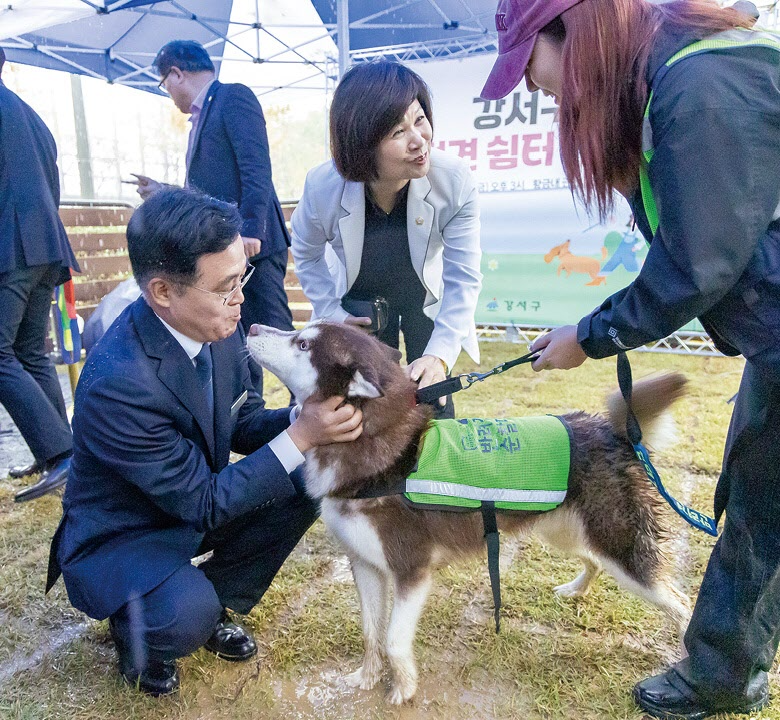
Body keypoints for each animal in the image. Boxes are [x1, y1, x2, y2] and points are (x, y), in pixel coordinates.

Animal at [248, 324, 688, 704]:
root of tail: (612, 429)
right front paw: (367, 677)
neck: (380, 453)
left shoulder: (411, 570)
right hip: (566, 531)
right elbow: (371, 633)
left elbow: (393, 639)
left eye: (303, 344)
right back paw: (576, 589)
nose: (251, 327)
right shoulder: (365, 564)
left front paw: (402, 688)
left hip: (622, 551)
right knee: (594, 560)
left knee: (680, 602)